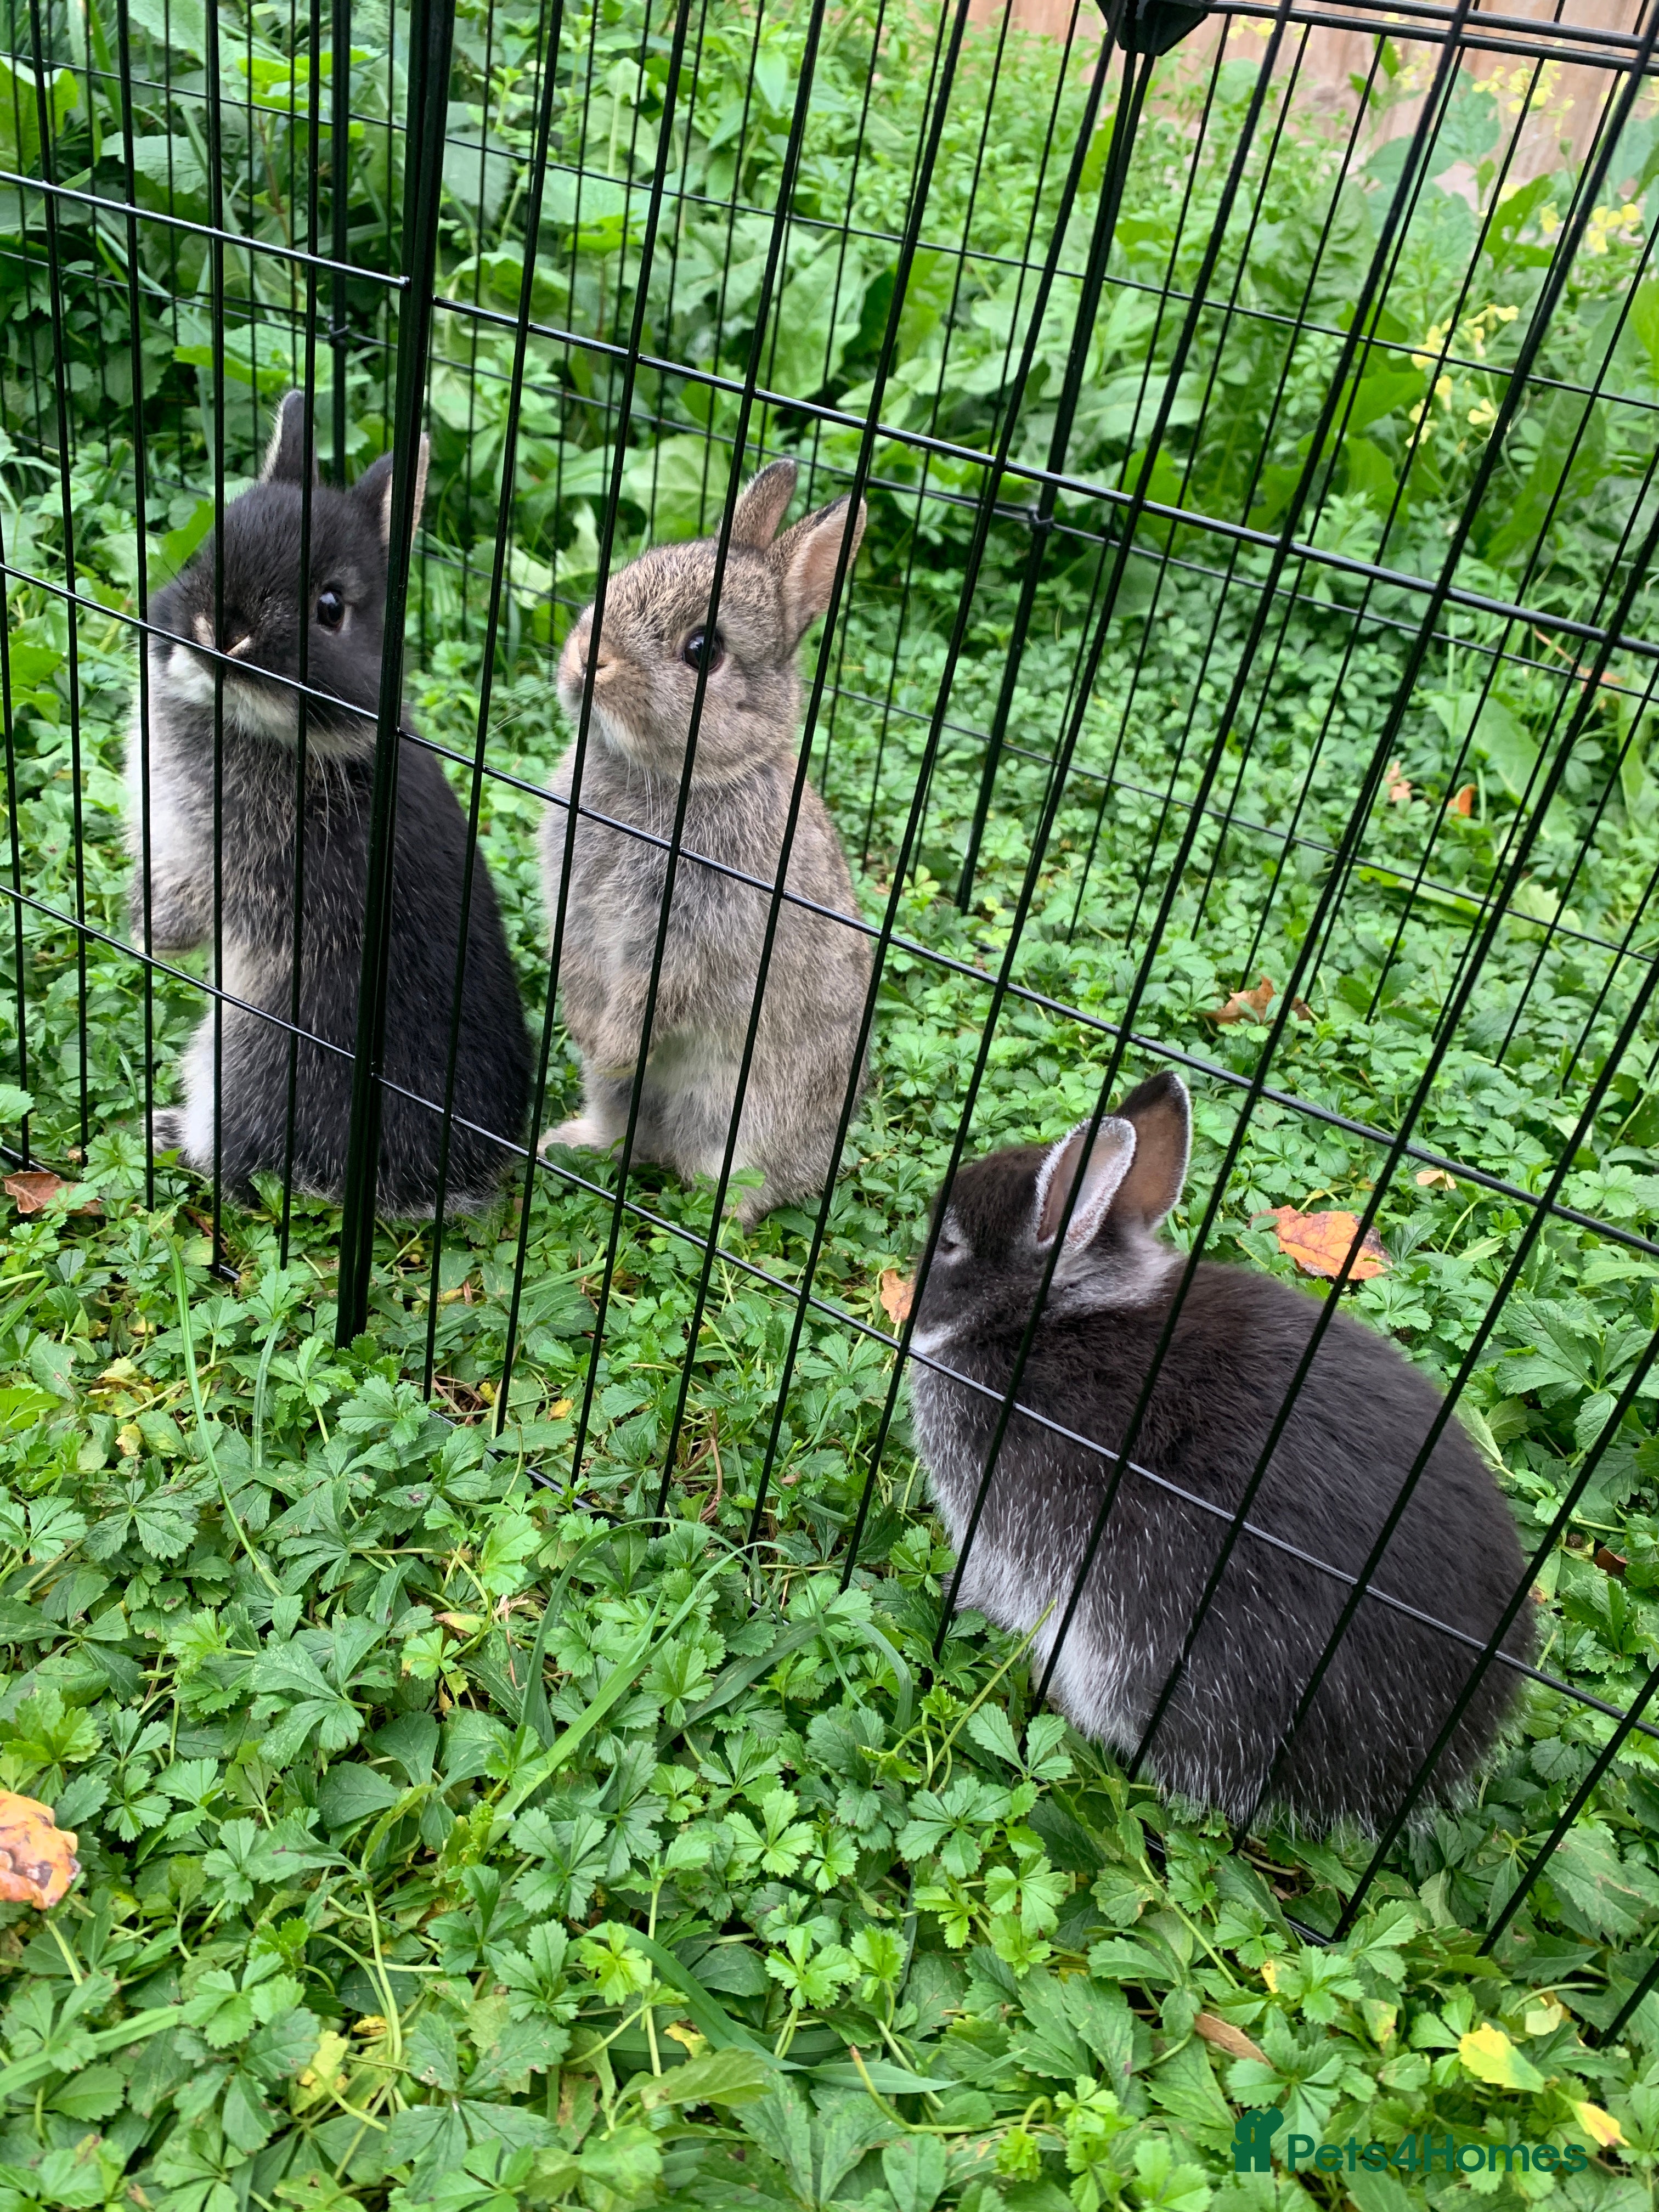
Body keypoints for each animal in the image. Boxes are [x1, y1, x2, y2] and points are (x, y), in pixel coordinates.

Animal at [126, 390, 532, 1218]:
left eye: (331, 606)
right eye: (204, 552)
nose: (222, 634)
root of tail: (448, 1181)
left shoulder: (222, 868)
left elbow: (187, 911)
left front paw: (148, 938)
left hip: (255, 1050)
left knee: (244, 1161)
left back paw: (168, 1133)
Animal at [539, 457, 872, 1228]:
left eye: (703, 650)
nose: (588, 658)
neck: (669, 776)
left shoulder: (695, 931)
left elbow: (657, 995)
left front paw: (613, 1045)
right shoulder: (574, 906)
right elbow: (578, 966)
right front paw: (582, 1028)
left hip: (753, 1116)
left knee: (743, 1187)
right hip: (626, 1108)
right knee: (620, 1128)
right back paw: (570, 1143)